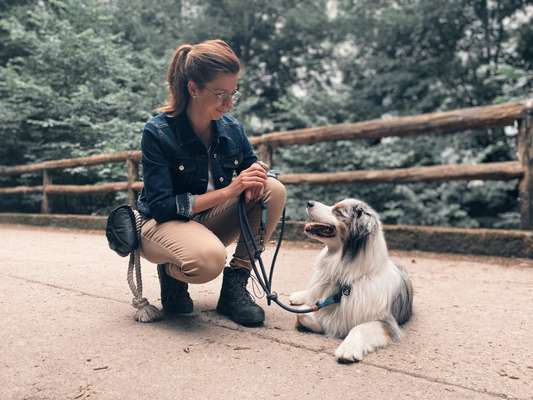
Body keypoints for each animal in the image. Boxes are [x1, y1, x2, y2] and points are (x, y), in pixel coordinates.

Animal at [288, 198, 414, 364]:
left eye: (338, 211)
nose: (309, 202)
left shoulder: (386, 322)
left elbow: (358, 328)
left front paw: (348, 349)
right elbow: (303, 314)